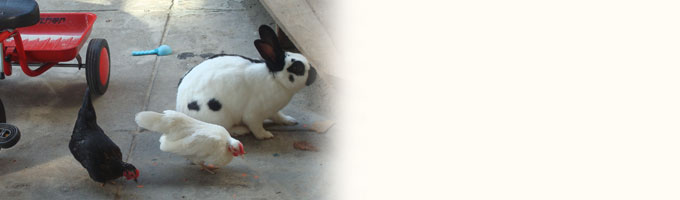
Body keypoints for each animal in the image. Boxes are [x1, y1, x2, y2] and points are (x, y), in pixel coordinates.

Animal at [179, 25, 320, 140]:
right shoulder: (254, 114)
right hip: (219, 116)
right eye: (297, 68)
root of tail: (181, 110)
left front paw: (290, 120)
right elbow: (255, 127)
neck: (276, 79)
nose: (315, 73)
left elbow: (278, 116)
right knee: (223, 129)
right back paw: (240, 130)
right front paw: (266, 135)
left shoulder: (273, 110)